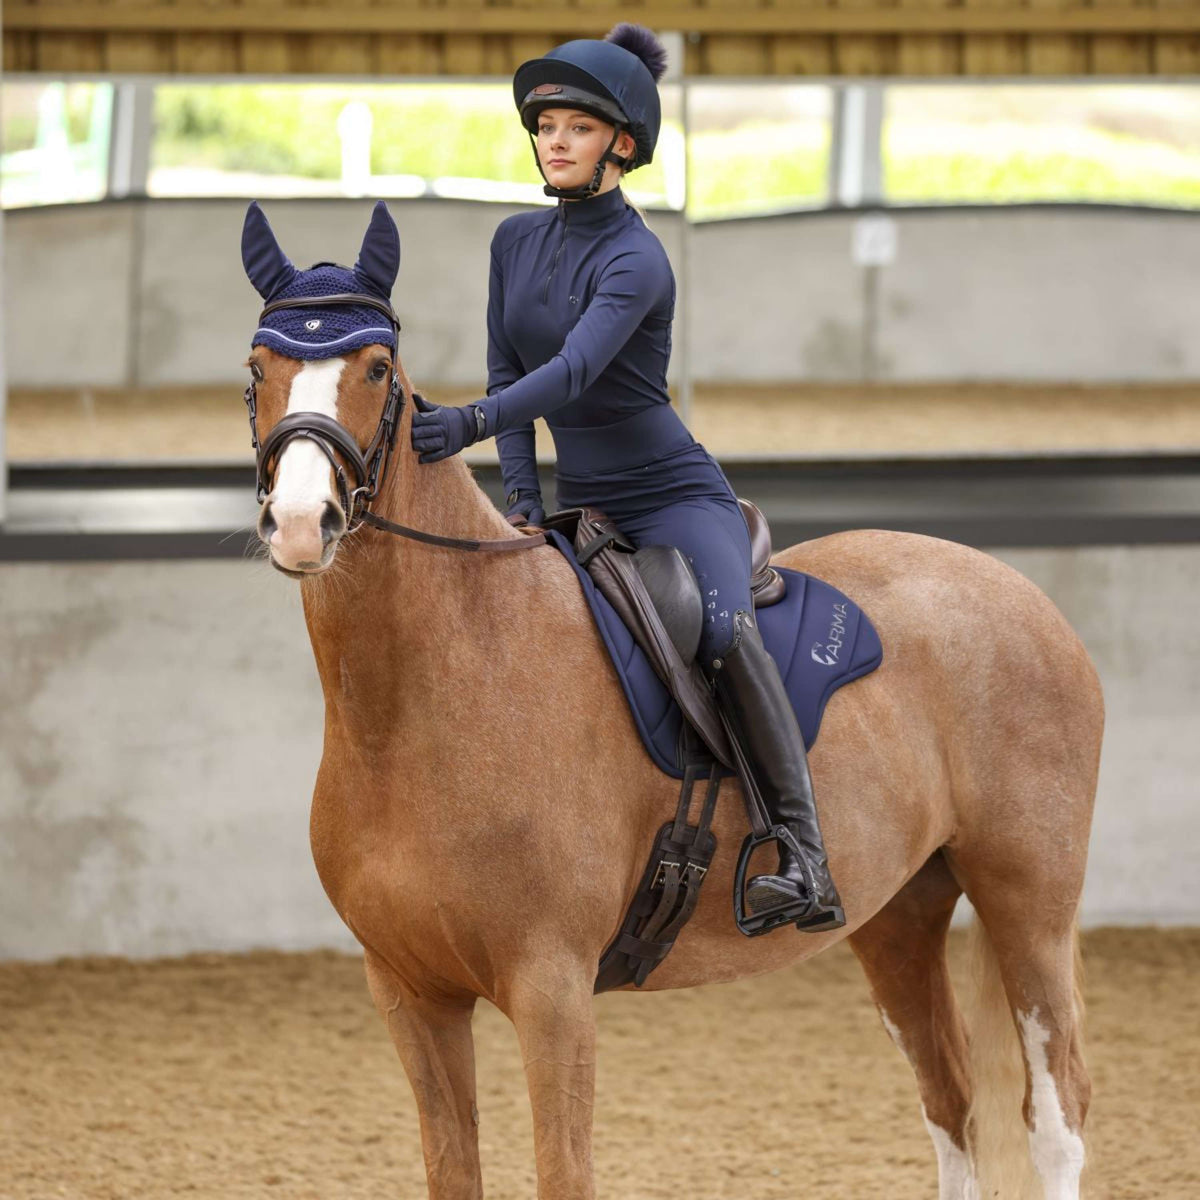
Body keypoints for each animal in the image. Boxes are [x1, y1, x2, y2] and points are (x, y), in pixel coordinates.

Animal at [241, 206, 1104, 1200]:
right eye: (255, 370)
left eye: (378, 369)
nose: (301, 525)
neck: (425, 700)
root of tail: (1024, 595)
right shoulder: (412, 994)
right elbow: (453, 1169)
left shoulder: (552, 991)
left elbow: (564, 1172)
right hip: (899, 911)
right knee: (949, 1098)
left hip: (1028, 899)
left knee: (1056, 1113)